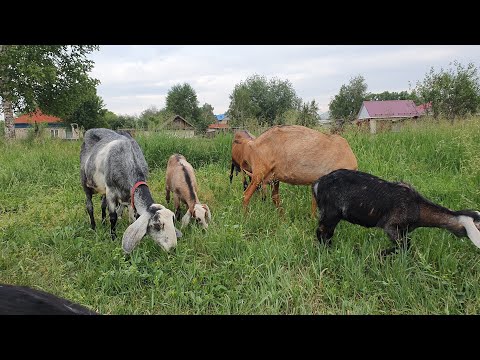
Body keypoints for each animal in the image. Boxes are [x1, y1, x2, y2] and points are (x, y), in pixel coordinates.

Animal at [312, 169, 480, 256]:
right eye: (478, 226)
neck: (418, 207)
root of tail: (318, 183)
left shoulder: (404, 230)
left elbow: (406, 244)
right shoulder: (392, 226)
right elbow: (406, 245)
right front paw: (380, 254)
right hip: (331, 213)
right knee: (321, 232)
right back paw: (327, 252)